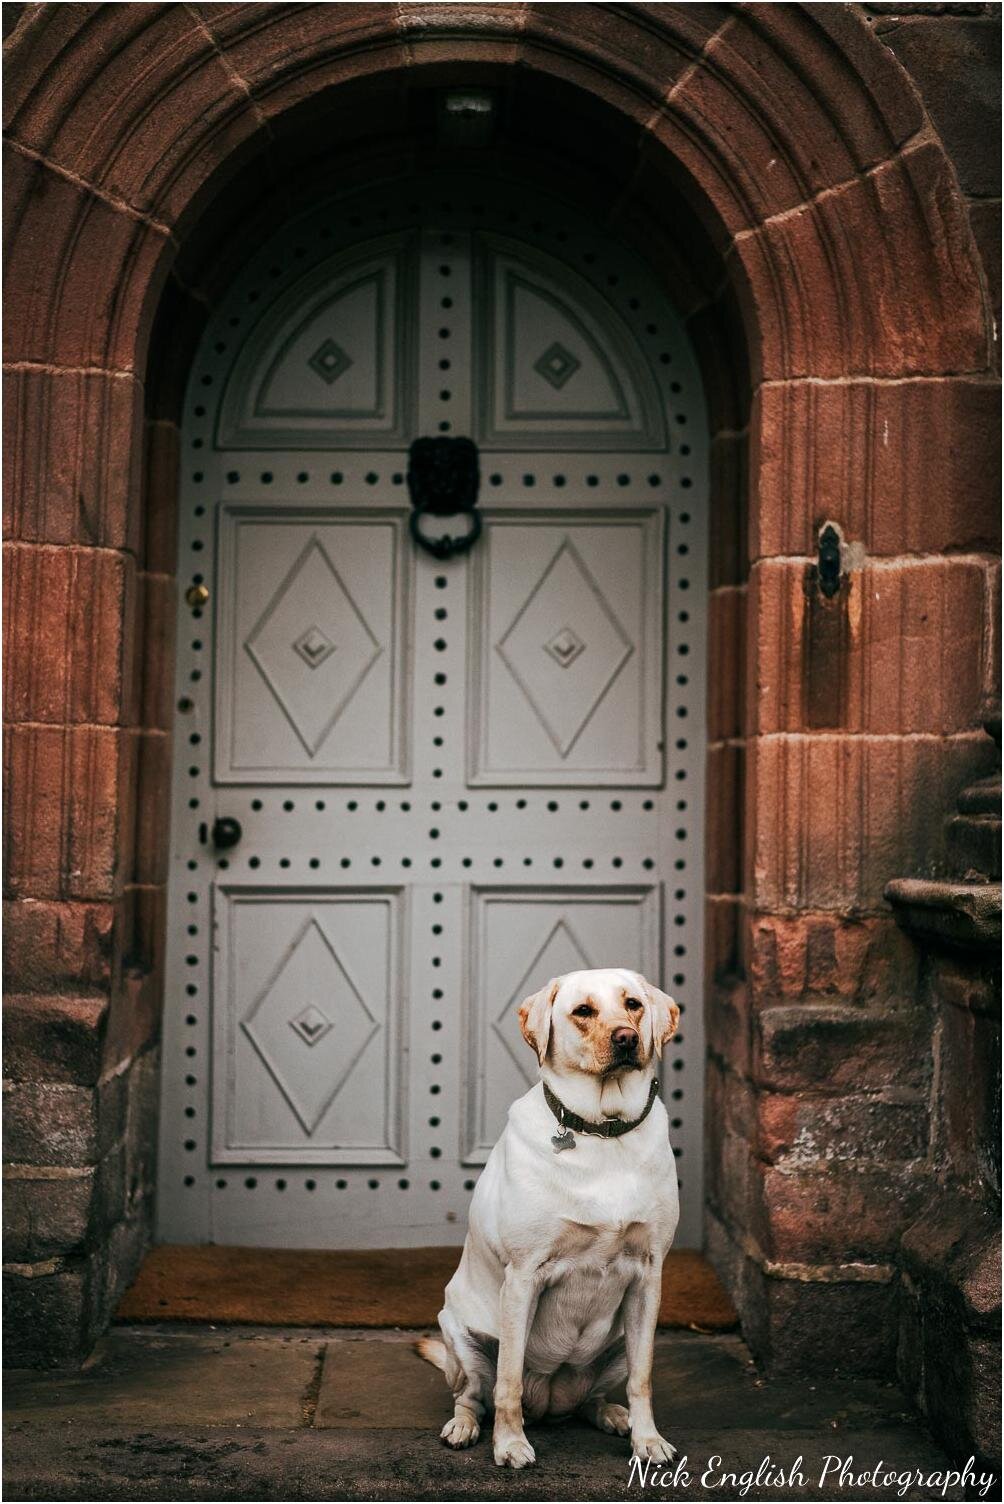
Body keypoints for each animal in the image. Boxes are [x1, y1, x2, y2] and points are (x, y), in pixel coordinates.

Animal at [414, 962, 682, 1467]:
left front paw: (648, 1439)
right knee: (472, 1394)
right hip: (460, 1336)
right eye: (583, 1011)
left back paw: (613, 1415)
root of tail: (552, 1404)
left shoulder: (649, 1276)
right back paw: (464, 1426)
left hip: (619, 1342)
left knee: (593, 1397)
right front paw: (510, 1444)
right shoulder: (523, 1277)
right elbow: (508, 1380)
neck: (603, 1131)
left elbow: (643, 1379)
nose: (626, 1038)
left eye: (633, 1004)